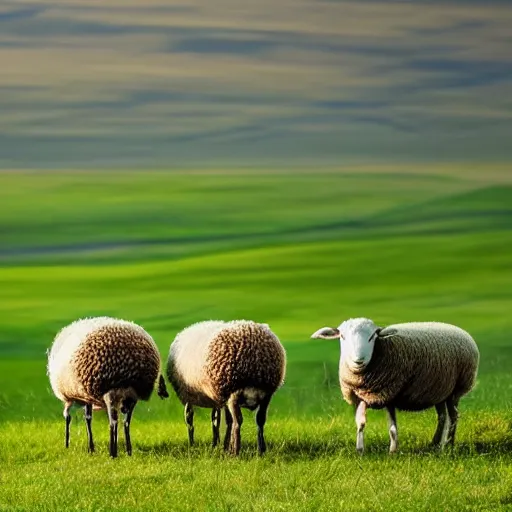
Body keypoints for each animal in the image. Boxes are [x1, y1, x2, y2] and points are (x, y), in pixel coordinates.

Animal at [47, 318, 169, 458]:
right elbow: (117, 422)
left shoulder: (125, 397)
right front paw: (117, 451)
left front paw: (121, 451)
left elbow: (118, 422)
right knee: (81, 417)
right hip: (88, 395)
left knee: (87, 418)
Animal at [168, 320, 288, 456]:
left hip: (218, 397)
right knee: (190, 419)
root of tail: (191, 327)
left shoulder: (266, 396)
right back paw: (193, 443)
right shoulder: (233, 396)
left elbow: (260, 420)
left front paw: (261, 450)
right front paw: (236, 450)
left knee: (216, 420)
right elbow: (238, 421)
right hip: (189, 396)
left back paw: (218, 444)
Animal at [312, 318, 480, 454]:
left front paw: (393, 451)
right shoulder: (359, 397)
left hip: (456, 389)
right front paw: (360, 450)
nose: (358, 360)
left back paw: (448, 445)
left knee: (453, 416)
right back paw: (434, 443)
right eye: (342, 336)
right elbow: (360, 423)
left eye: (372, 337)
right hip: (439, 390)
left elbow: (392, 427)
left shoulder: (390, 393)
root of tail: (458, 329)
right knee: (442, 416)